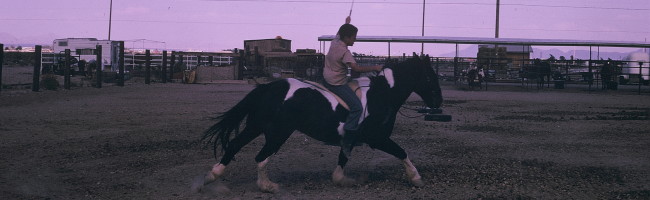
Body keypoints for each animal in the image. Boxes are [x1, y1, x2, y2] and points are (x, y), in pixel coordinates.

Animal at [189, 52, 440, 192]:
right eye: (430, 77)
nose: (438, 101)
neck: (381, 95)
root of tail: (269, 88)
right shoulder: (377, 139)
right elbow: (402, 152)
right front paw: (416, 179)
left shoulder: (349, 139)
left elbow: (342, 160)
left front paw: (341, 180)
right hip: (278, 133)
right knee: (261, 157)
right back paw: (267, 186)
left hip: (256, 126)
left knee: (234, 145)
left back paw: (212, 177)